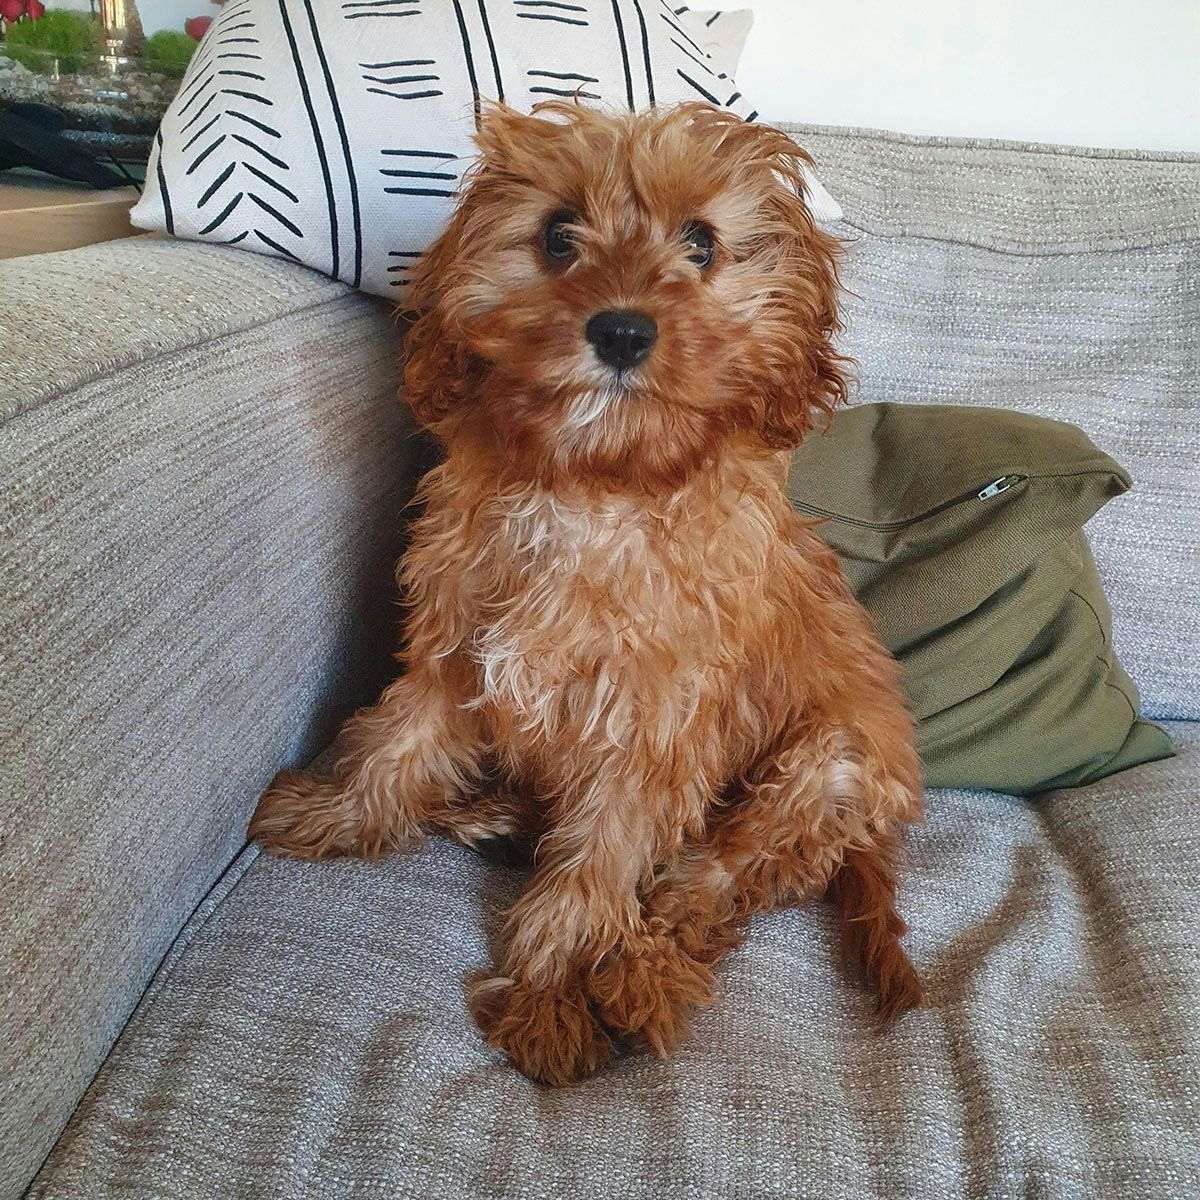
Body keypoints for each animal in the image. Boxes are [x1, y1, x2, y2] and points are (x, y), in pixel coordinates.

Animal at [250, 103, 926, 1084]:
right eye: (558, 235)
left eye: (700, 243)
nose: (622, 332)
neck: (595, 486)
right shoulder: (454, 647)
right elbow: (397, 743)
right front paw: (334, 812)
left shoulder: (650, 723)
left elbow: (600, 857)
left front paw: (554, 986)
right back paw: (493, 816)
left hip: (831, 761)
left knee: (724, 878)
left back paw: (645, 964)